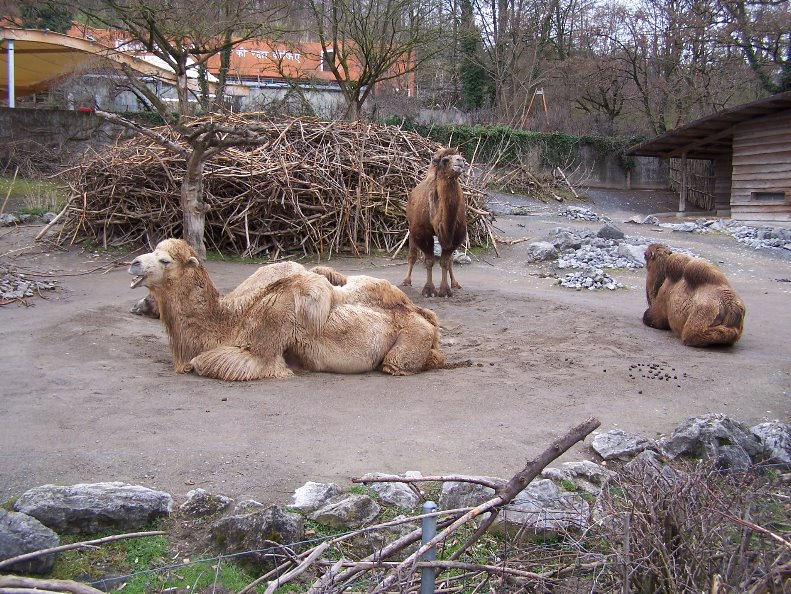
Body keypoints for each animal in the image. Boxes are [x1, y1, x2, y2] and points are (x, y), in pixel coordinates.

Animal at [128, 239, 444, 380]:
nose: (134, 263)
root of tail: (421, 313)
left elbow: (204, 362)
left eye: (165, 260)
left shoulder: (262, 348)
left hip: (407, 342)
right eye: (153, 251)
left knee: (398, 362)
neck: (231, 320)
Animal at [403, 147, 469, 297]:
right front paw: (428, 290)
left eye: (461, 158)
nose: (460, 161)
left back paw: (455, 283)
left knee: (450, 261)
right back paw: (406, 281)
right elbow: (429, 261)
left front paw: (445, 291)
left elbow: (445, 261)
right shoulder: (421, 231)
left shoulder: (455, 235)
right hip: (411, 228)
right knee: (412, 254)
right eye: (445, 160)